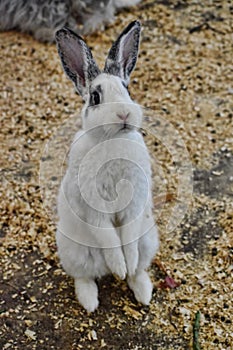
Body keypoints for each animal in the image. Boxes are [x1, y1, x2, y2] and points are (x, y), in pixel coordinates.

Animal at [55, 21, 159, 312]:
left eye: (127, 90)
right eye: (95, 97)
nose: (124, 114)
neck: (112, 139)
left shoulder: (135, 202)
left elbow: (128, 239)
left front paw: (127, 266)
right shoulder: (94, 208)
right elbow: (110, 239)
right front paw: (119, 267)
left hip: (148, 240)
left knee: (139, 268)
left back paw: (141, 290)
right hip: (73, 251)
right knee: (83, 277)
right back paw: (91, 300)